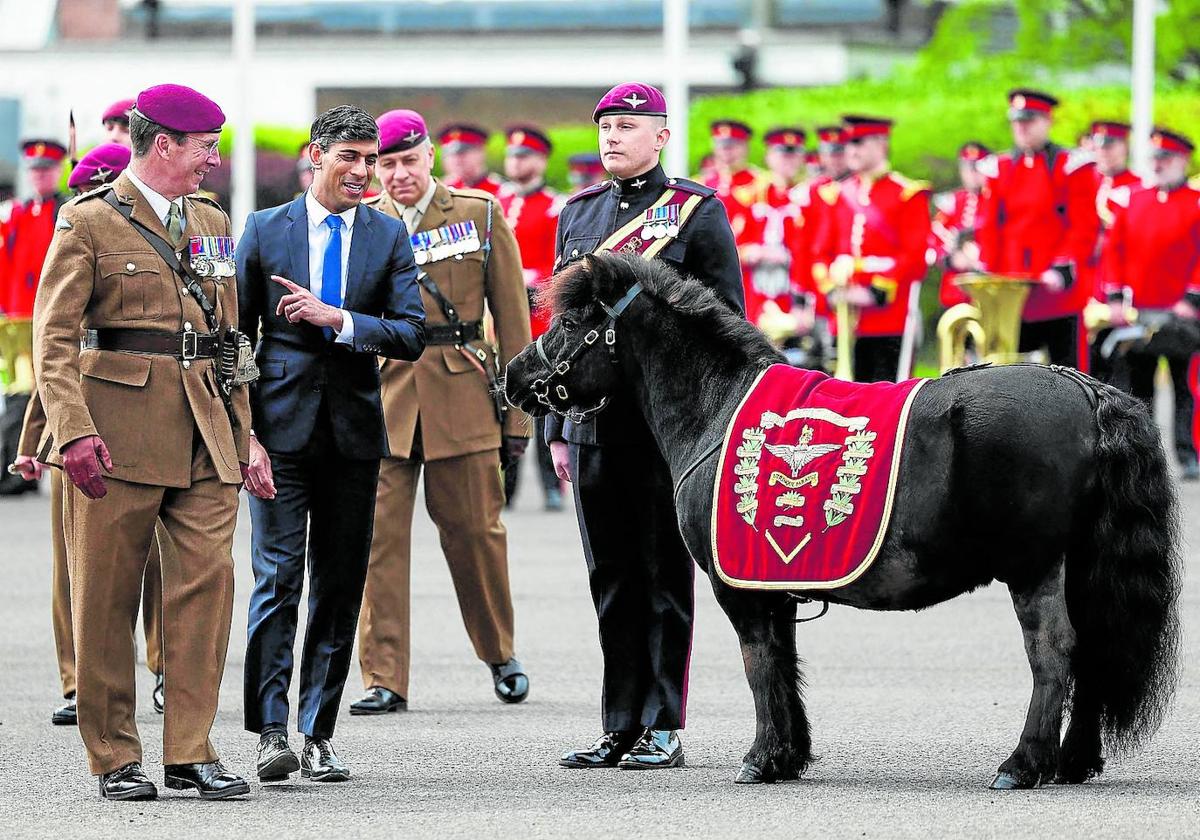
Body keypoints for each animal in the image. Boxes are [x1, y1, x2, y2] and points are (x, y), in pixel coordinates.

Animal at [499, 253, 1180, 792]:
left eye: (569, 323)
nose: (514, 376)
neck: (719, 405)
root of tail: (1086, 389)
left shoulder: (738, 587)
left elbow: (759, 662)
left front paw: (762, 758)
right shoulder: (770, 580)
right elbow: (784, 662)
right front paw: (789, 755)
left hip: (1033, 567)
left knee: (1054, 652)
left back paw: (1022, 764)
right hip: (1079, 566)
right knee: (1092, 648)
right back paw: (1072, 761)